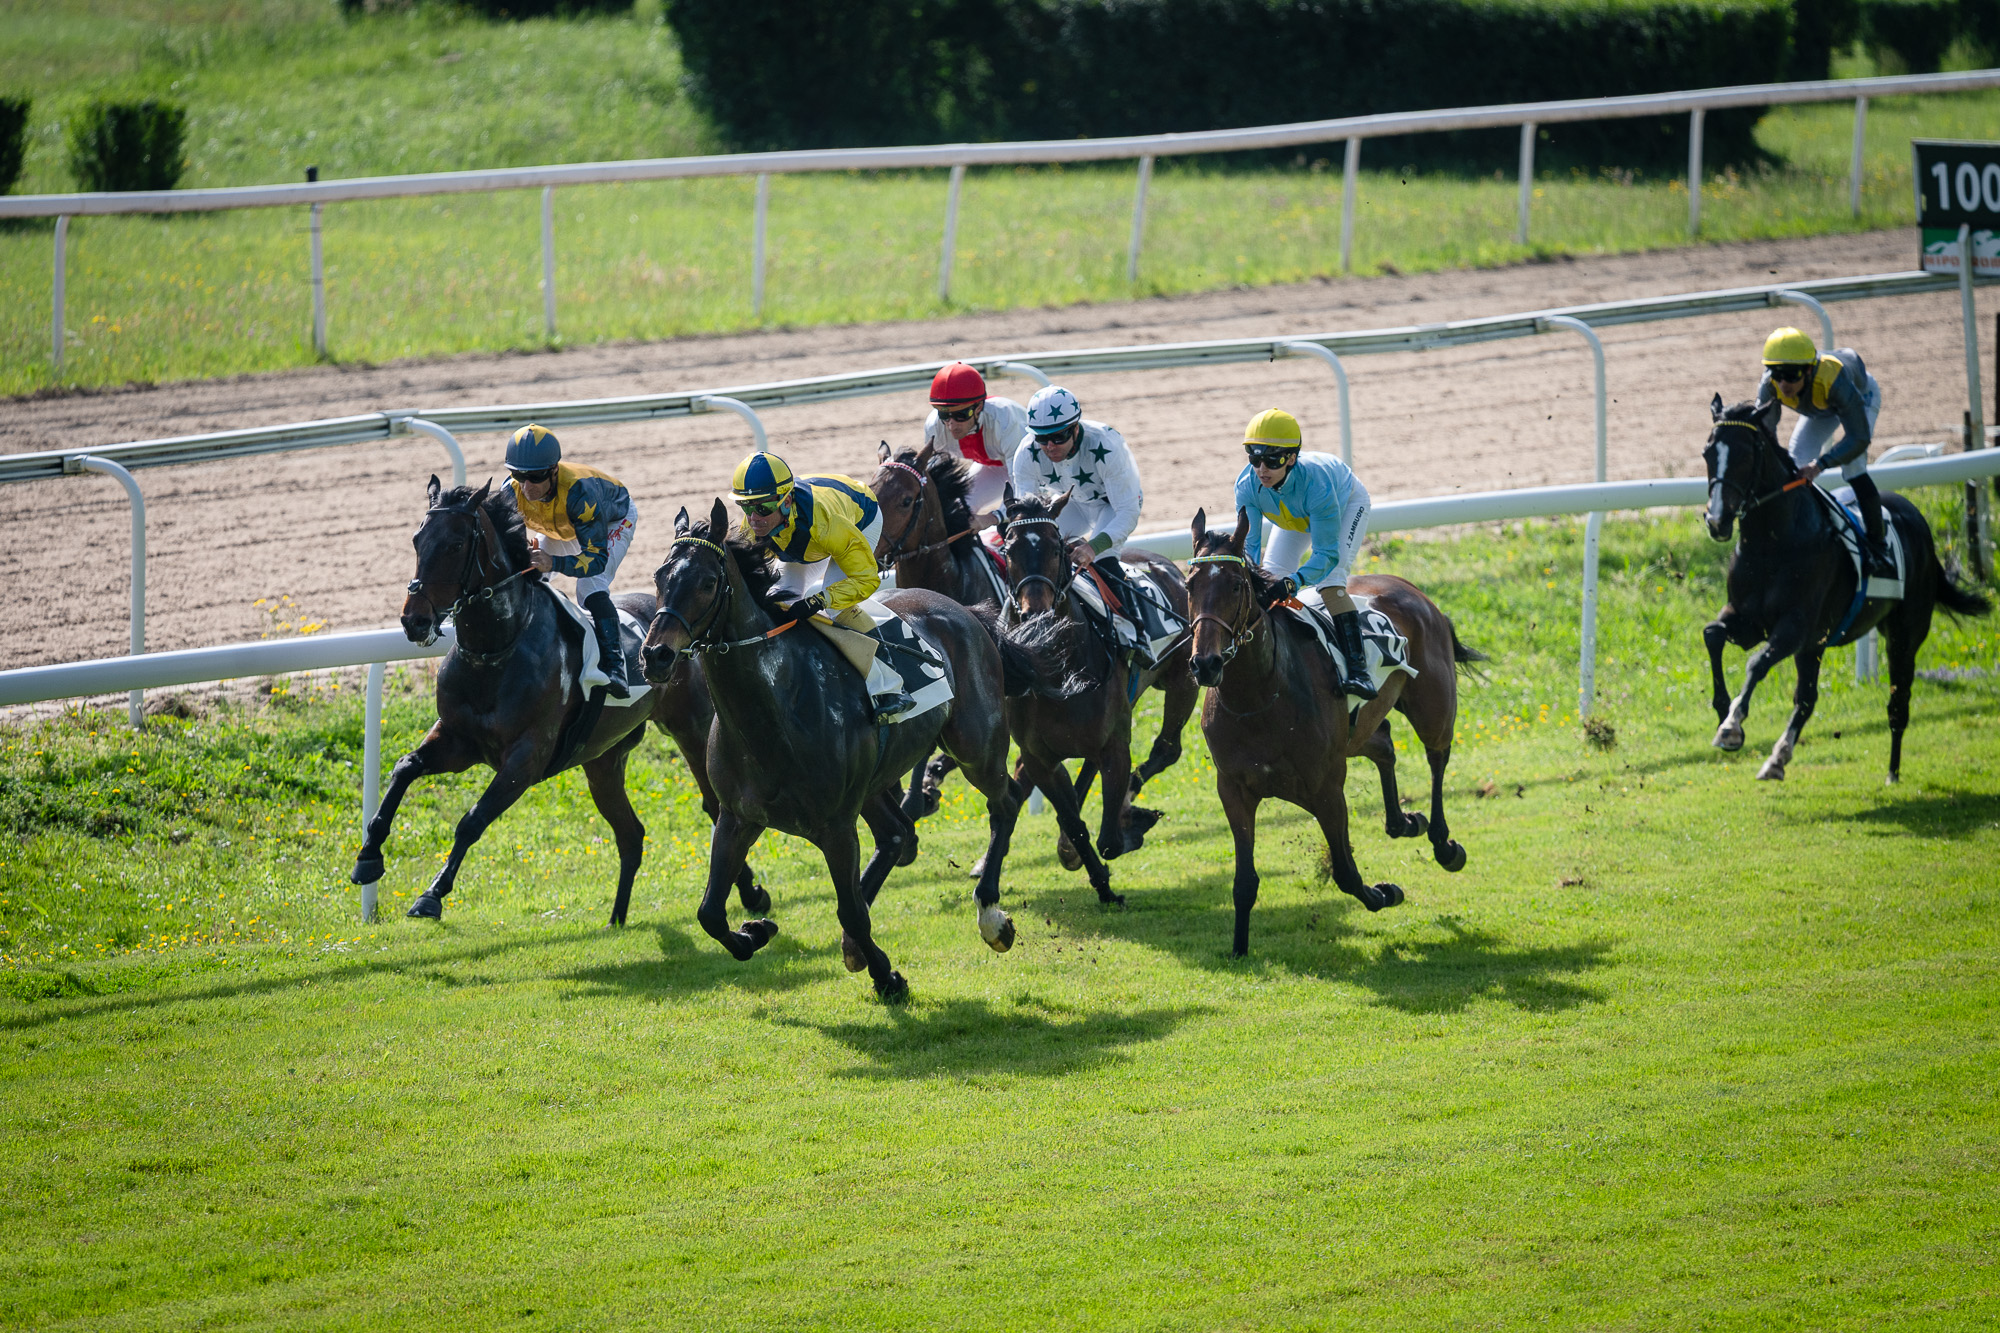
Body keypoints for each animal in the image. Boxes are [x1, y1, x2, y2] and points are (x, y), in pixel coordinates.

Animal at [353, 477, 770, 925]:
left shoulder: (526, 758)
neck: (495, 651)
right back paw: (617, 919)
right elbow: (404, 768)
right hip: (602, 759)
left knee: (713, 805)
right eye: (417, 540)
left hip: (691, 729)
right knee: (631, 833)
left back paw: (752, 894)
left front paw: (431, 894)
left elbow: (471, 820)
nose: (414, 621)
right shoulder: (457, 740)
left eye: (455, 544)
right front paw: (367, 859)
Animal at [640, 499, 1040, 1001]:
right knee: (897, 835)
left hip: (977, 747)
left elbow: (849, 909)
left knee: (1004, 803)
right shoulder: (737, 817)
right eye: (659, 576)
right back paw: (855, 944)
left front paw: (888, 978)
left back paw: (990, 915)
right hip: (873, 785)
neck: (773, 711)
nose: (655, 655)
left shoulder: (835, 827)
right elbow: (709, 913)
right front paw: (756, 930)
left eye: (708, 582)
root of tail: (963, 609)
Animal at [997, 490, 1199, 904]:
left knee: (1167, 749)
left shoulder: (1115, 745)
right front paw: (1101, 884)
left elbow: (1109, 839)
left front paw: (1131, 824)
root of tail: (1165, 565)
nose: (1035, 613)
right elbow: (1074, 823)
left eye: (1057, 548)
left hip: (1182, 680)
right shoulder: (1040, 758)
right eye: (1009, 549)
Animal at [1187, 507, 1481, 955]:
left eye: (1236, 585)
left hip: (1433, 706)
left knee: (1437, 756)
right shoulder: (1234, 790)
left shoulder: (1326, 787)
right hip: (1356, 731)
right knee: (1383, 743)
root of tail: (1412, 588)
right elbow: (1244, 882)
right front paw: (1238, 948)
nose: (1205, 664)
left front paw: (1384, 893)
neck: (1261, 696)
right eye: (1189, 585)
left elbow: (1344, 870)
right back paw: (1403, 822)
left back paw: (1443, 843)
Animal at [1701, 395, 1991, 782]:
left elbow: (1756, 663)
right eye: (1708, 453)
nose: (1717, 521)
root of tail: (1918, 520)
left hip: (1904, 635)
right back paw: (1777, 758)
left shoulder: (1795, 627)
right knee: (1807, 700)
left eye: (1746, 455)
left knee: (1898, 702)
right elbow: (1713, 634)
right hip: (1816, 645)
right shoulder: (1748, 621)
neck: (1772, 545)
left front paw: (1732, 726)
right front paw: (1723, 712)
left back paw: (1892, 773)